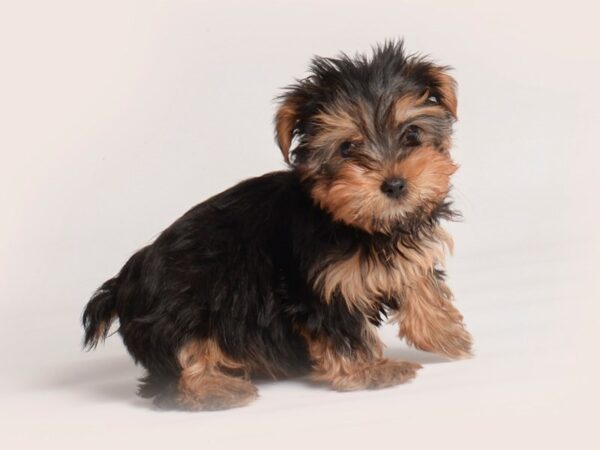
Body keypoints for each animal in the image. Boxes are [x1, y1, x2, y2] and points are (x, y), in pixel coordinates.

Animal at [81, 42, 474, 412]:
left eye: (412, 134)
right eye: (347, 148)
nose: (394, 185)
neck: (359, 224)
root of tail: (121, 285)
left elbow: (419, 281)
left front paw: (448, 335)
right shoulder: (319, 287)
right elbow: (345, 333)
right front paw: (371, 371)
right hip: (179, 310)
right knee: (180, 365)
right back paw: (218, 390)